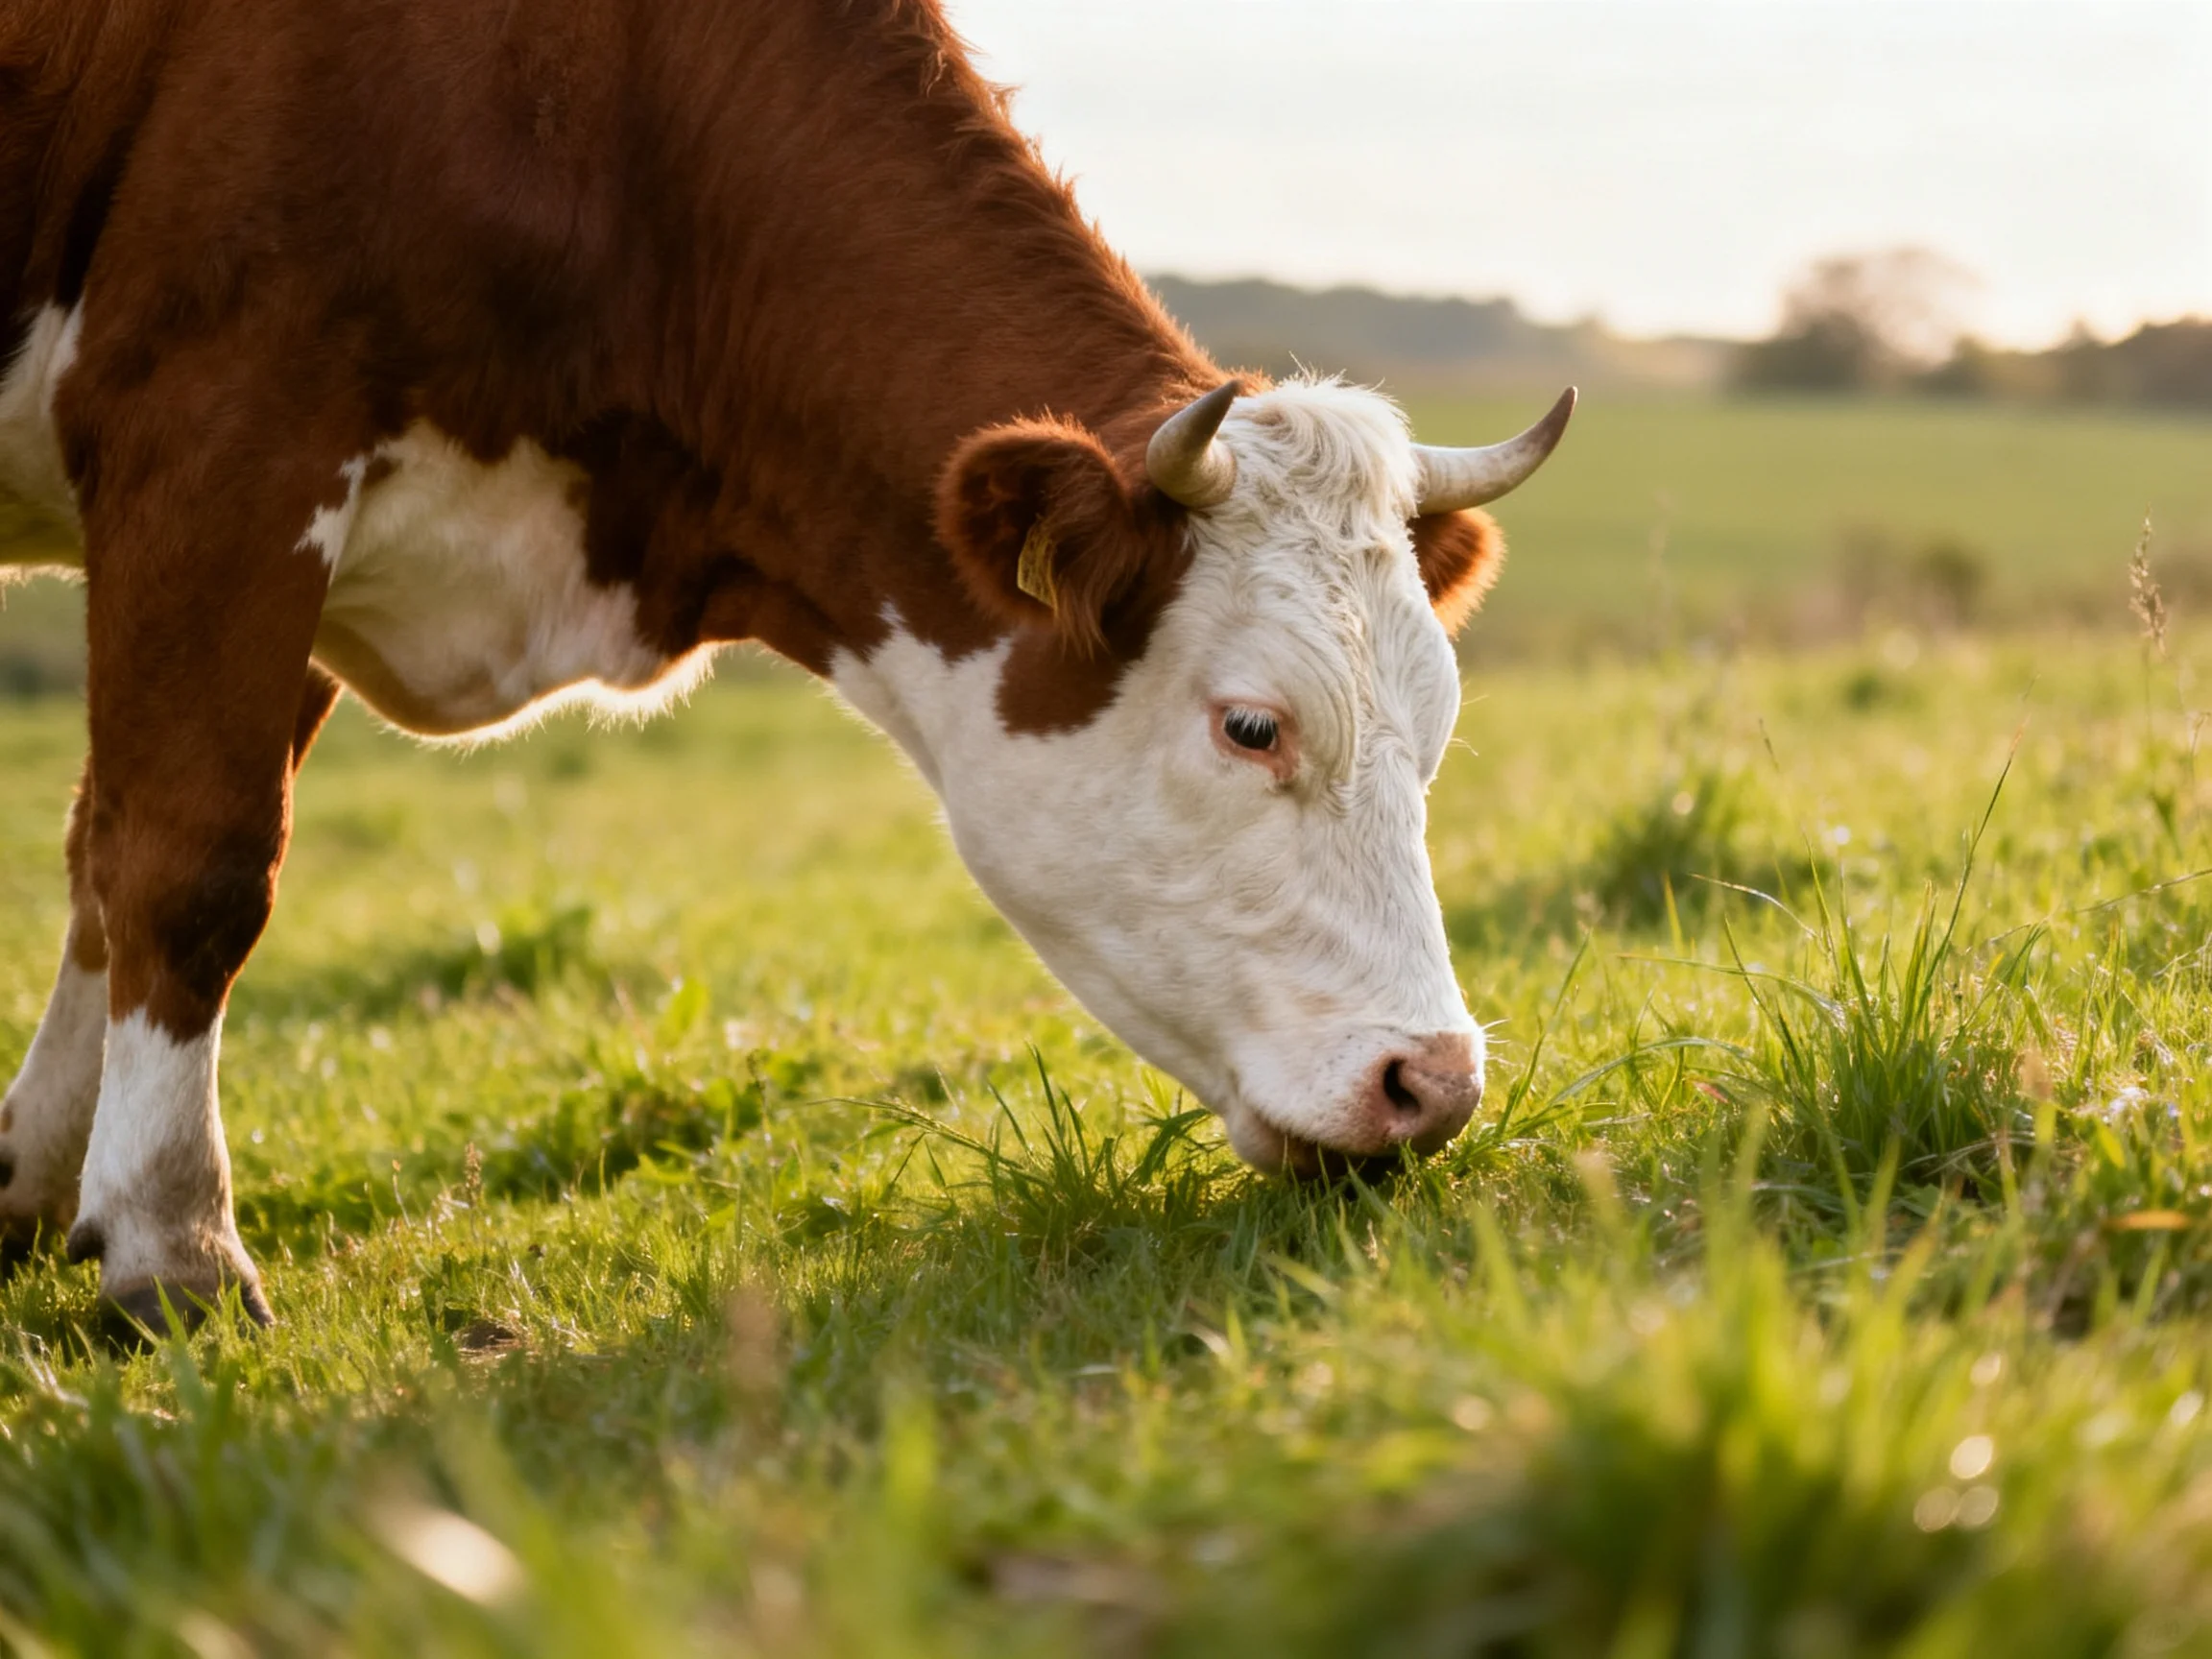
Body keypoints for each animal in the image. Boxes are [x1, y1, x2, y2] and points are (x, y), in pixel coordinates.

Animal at [0, 0, 1572, 1331]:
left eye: (1435, 733)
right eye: (1251, 726)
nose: (1433, 1086)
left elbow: (104, 854)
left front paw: (31, 1188)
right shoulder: (223, 445)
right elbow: (191, 865)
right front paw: (170, 1248)